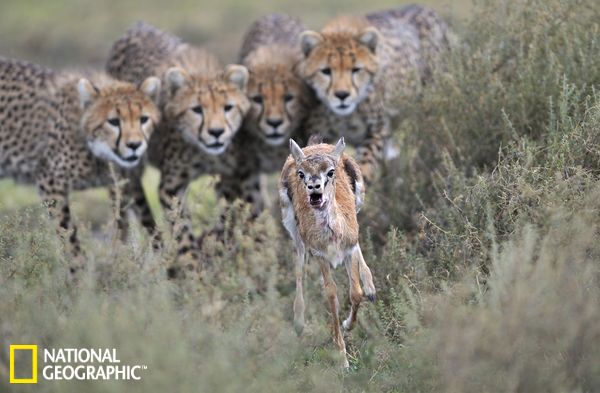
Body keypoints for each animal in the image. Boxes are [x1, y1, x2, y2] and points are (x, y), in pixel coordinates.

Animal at [0, 56, 162, 272]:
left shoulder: (124, 184)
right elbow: (67, 234)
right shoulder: (50, 182)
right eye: (113, 121)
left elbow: (138, 223)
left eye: (143, 119)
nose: (135, 145)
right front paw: (79, 273)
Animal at [105, 22, 251, 260]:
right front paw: (191, 262)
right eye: (197, 109)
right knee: (129, 207)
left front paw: (216, 243)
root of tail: (138, 26)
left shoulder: (231, 177)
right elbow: (181, 227)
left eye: (227, 107)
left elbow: (226, 215)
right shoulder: (171, 187)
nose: (216, 132)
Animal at [298, 4, 452, 182]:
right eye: (326, 71)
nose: (342, 95)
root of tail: (420, 6)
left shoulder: (378, 128)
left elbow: (365, 163)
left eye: (356, 69)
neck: (344, 116)